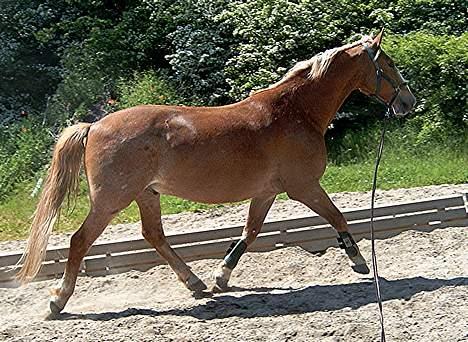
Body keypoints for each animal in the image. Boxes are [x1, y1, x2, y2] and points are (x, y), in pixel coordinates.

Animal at [16, 29, 414, 312]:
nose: (409, 101)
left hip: (146, 194)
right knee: (80, 240)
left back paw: (196, 283)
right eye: (390, 63)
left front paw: (222, 277)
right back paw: (58, 300)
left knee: (154, 236)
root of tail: (94, 126)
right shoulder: (304, 187)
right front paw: (359, 262)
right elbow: (338, 217)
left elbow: (249, 233)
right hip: (112, 201)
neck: (295, 112)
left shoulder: (267, 192)